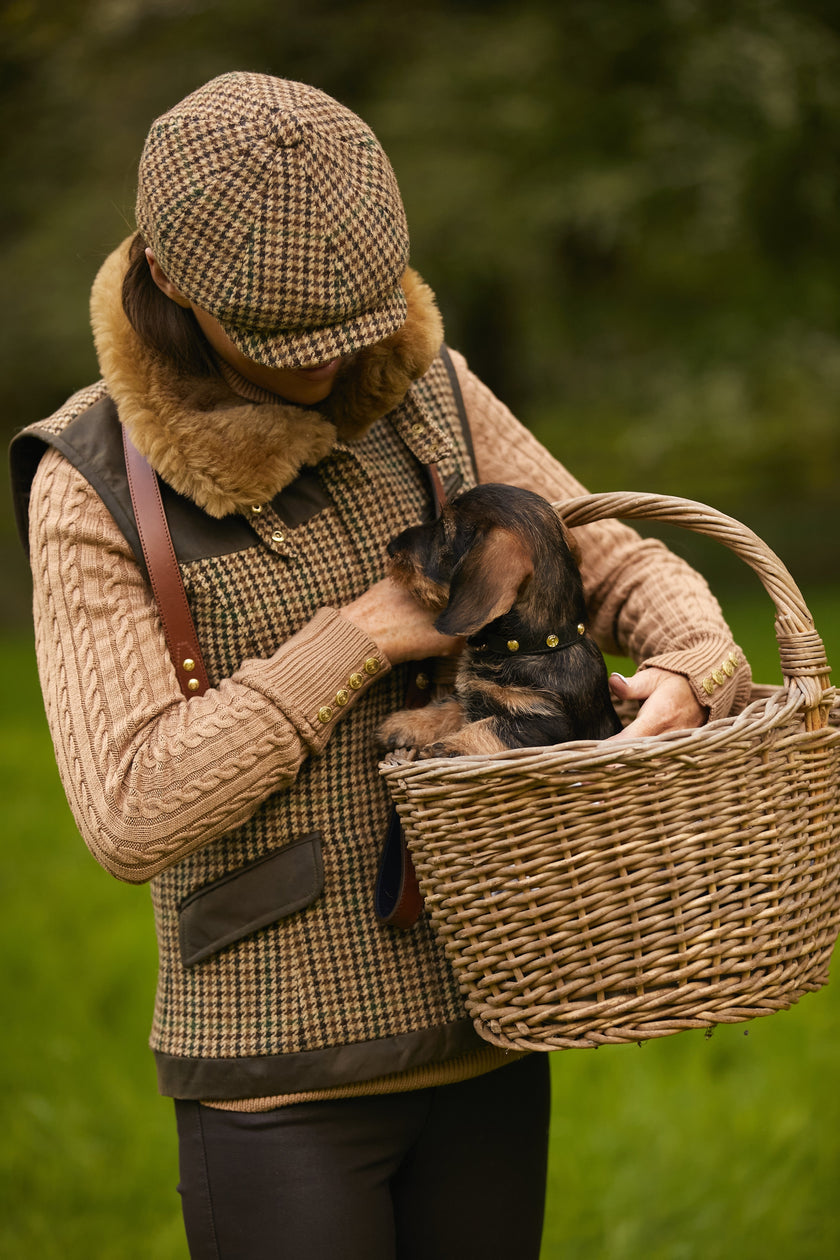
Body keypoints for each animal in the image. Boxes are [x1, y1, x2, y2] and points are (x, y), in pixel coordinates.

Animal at [377, 481, 622, 756]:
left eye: (444, 532)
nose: (391, 547)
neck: (531, 647)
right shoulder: (474, 697)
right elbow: (450, 707)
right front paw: (404, 722)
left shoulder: (544, 720)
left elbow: (490, 728)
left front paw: (447, 747)